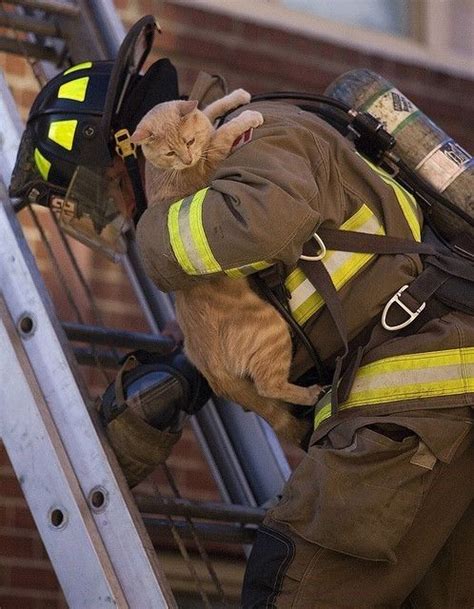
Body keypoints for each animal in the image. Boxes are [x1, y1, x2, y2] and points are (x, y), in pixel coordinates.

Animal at [131, 90, 320, 444]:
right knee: (268, 386)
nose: (187, 158)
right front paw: (246, 117)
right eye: (170, 151)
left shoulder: (203, 131)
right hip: (273, 329)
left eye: (188, 141)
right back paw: (311, 394)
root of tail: (207, 364)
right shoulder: (213, 161)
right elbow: (224, 132)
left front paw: (235, 98)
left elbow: (209, 111)